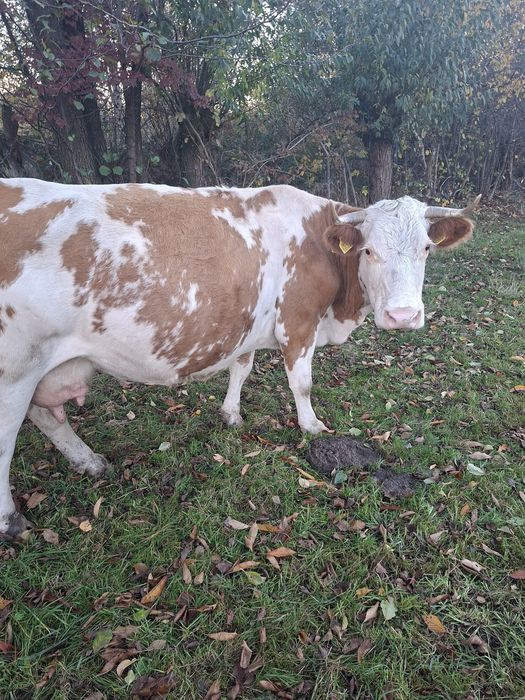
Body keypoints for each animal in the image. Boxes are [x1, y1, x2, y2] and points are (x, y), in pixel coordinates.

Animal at [0, 178, 479, 539]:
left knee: (47, 416)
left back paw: (89, 461)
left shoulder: (248, 326)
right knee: (8, 436)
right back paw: (10, 519)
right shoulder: (297, 322)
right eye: (368, 250)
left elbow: (241, 368)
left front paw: (231, 414)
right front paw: (311, 427)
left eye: (426, 249)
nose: (403, 316)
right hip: (15, 369)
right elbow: (301, 382)